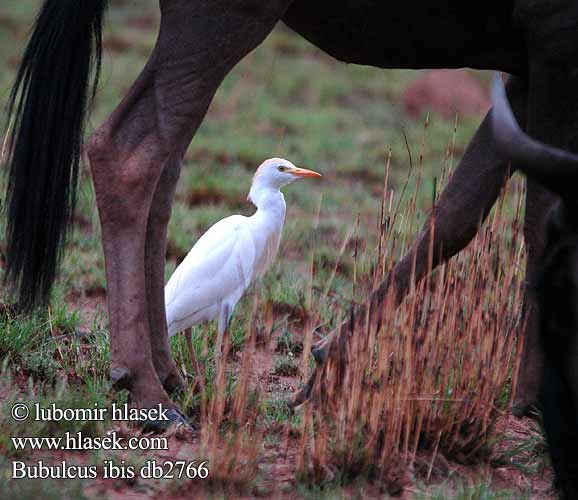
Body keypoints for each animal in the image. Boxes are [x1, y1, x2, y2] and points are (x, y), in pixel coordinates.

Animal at [3, 0, 576, 422]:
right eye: (283, 167)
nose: (308, 174)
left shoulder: (523, 68)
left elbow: (457, 214)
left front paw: (324, 369)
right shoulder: (551, 40)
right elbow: (540, 220)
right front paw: (533, 401)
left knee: (165, 169)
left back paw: (167, 374)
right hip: (222, 18)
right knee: (128, 152)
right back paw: (148, 391)